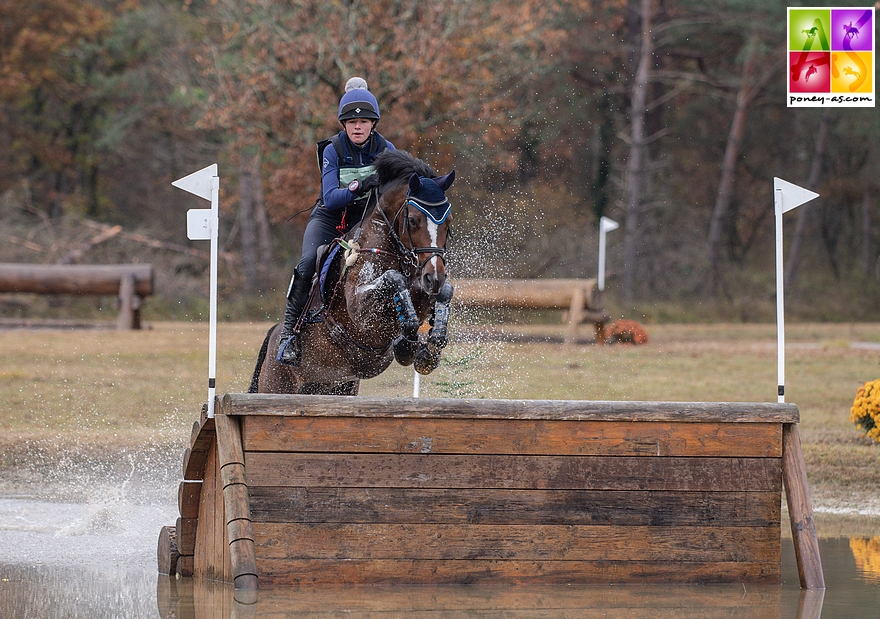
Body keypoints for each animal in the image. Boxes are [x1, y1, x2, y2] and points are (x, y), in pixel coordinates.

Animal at [248, 148, 454, 394]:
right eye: (413, 220)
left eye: (448, 222)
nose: (434, 277)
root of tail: (272, 336)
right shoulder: (361, 312)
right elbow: (393, 280)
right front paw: (406, 343)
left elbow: (445, 292)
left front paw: (428, 350)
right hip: (276, 385)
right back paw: (287, 345)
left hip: (338, 386)